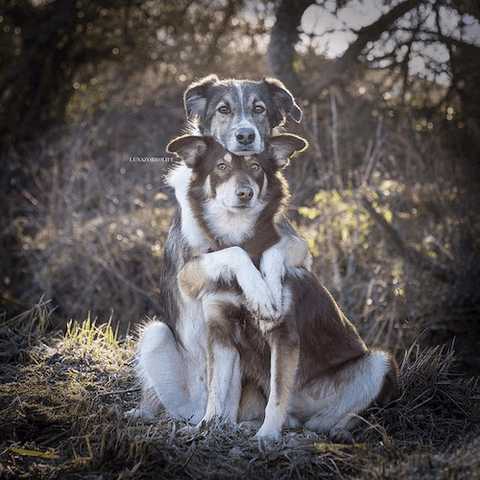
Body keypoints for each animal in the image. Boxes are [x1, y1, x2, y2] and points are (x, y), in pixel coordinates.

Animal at [165, 133, 398, 440]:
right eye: (220, 166)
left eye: (255, 166)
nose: (245, 193)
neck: (241, 237)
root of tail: (302, 414)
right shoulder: (220, 332)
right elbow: (215, 390)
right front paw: (205, 426)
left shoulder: (283, 336)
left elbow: (277, 395)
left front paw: (266, 436)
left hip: (378, 364)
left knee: (340, 417)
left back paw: (334, 431)